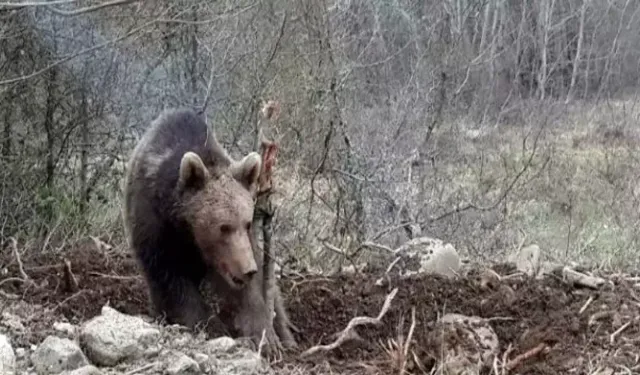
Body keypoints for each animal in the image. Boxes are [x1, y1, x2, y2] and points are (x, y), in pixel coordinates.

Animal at [122, 108, 280, 352]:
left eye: (246, 223)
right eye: (223, 227)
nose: (248, 270)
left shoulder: (240, 248)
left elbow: (246, 289)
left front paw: (264, 336)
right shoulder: (154, 225)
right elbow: (171, 279)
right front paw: (211, 326)